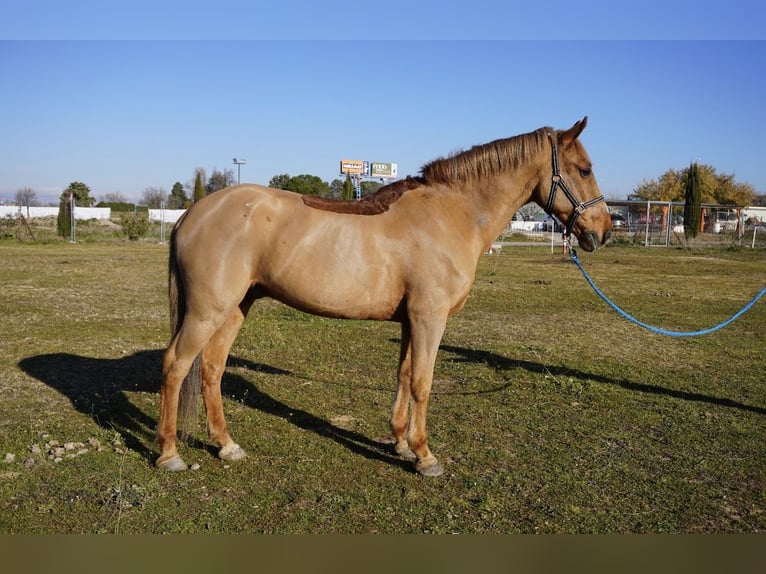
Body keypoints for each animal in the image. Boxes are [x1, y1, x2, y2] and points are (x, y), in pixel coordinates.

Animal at [156, 116, 612, 476]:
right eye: (584, 168)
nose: (603, 231)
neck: (451, 214)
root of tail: (192, 214)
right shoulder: (430, 317)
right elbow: (424, 383)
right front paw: (426, 456)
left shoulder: (412, 320)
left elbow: (404, 376)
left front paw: (401, 443)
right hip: (207, 311)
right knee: (176, 364)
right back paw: (169, 454)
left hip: (235, 308)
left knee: (212, 368)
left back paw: (227, 446)